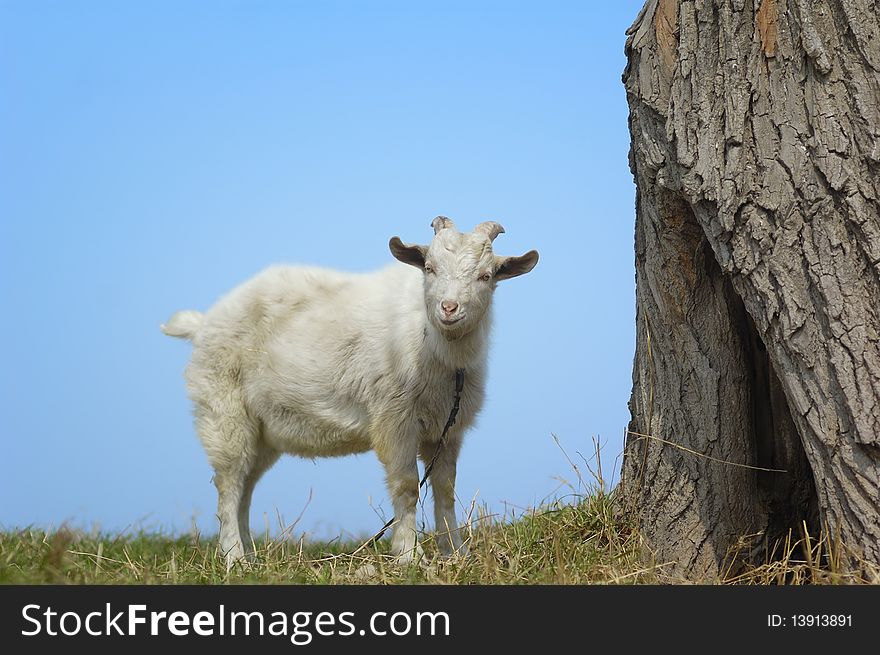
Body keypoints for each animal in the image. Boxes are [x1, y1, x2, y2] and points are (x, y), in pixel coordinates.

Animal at [162, 218, 540, 568]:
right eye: (430, 268)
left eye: (486, 276)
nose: (448, 308)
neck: (435, 347)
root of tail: (202, 324)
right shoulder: (394, 419)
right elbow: (407, 486)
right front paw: (409, 556)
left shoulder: (447, 429)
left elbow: (445, 489)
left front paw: (455, 554)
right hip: (224, 412)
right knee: (229, 484)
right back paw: (233, 557)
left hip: (261, 433)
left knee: (246, 487)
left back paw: (251, 558)